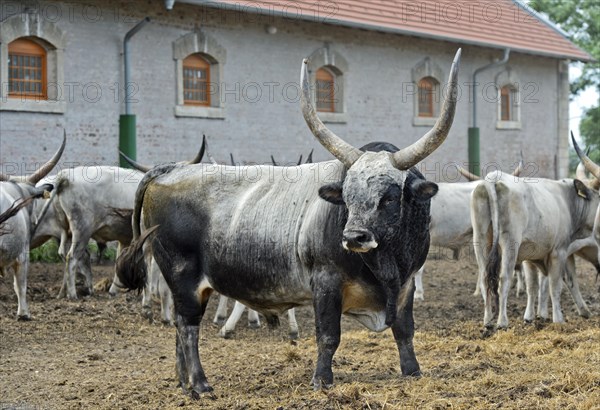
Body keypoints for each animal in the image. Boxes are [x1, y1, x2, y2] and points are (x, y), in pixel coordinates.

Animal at [117, 49, 462, 398]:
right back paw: (200, 383)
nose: (354, 237)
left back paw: (182, 380)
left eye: (389, 197)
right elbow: (328, 336)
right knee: (188, 327)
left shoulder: (407, 283)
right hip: (183, 275)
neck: (386, 266)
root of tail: (172, 169)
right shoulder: (326, 282)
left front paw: (413, 371)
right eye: (347, 195)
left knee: (178, 325)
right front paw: (322, 380)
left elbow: (405, 330)